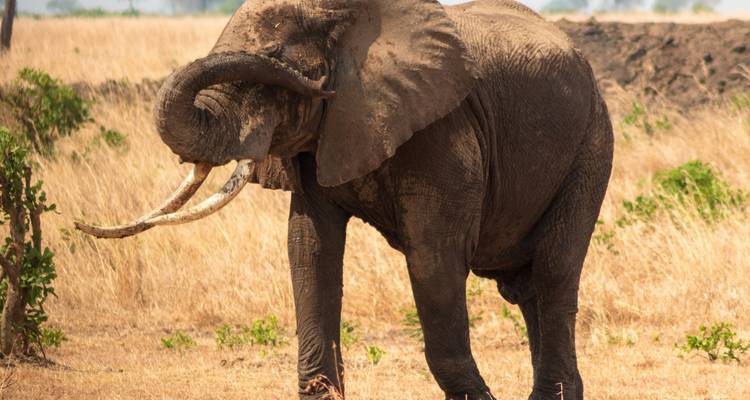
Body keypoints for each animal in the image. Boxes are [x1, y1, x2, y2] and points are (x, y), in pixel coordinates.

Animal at [76, 0, 614, 399]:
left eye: (275, 63)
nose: (317, 84)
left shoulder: (444, 130)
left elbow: (434, 257)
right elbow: (310, 249)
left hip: (591, 143)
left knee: (552, 272)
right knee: (523, 286)